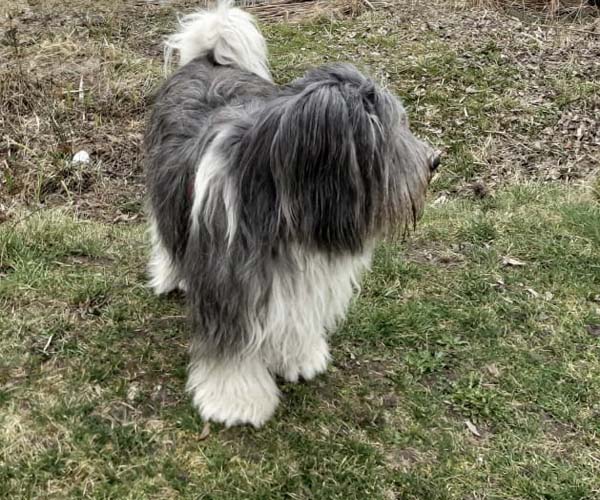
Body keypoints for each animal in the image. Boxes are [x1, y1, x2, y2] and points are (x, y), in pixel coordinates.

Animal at [144, 1, 440, 427]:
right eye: (385, 135)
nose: (435, 161)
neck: (290, 206)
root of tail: (210, 58)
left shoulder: (299, 276)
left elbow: (296, 319)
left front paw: (298, 358)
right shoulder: (230, 282)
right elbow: (231, 350)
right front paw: (237, 400)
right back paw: (170, 275)